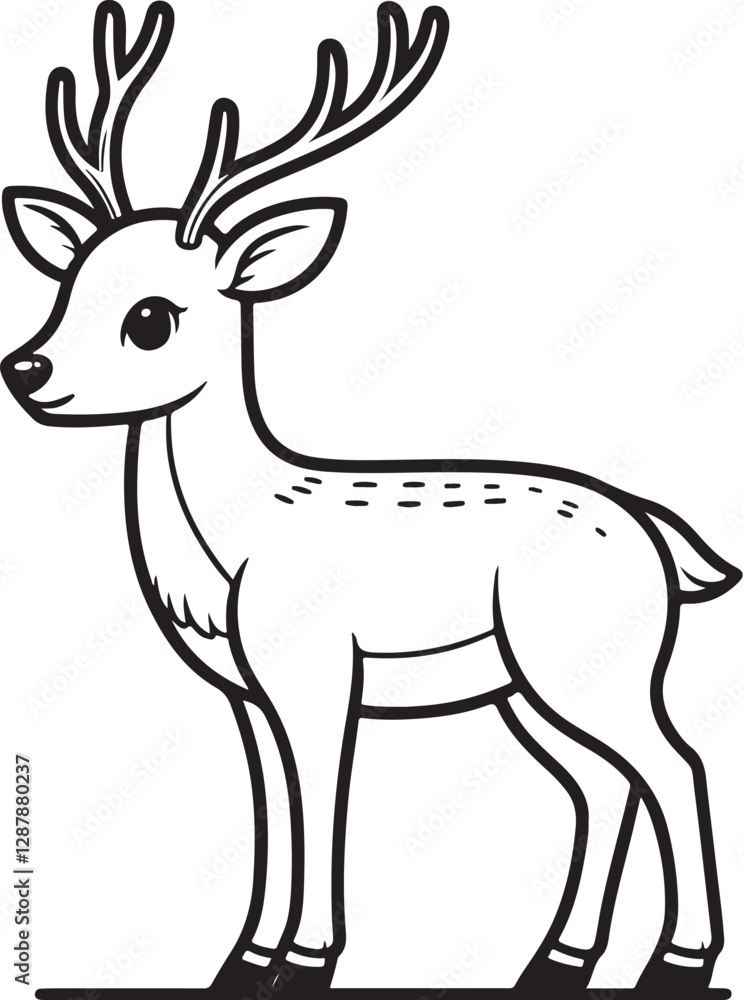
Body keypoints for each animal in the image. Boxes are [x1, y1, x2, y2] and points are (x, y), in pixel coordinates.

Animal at [2, 2, 740, 996]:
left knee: (676, 763)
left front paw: (305, 961)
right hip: (529, 683)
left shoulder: (319, 672)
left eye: (151, 317)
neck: (234, 544)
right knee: (602, 782)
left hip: (593, 662)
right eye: (70, 278)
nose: (25, 370)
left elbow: (320, 802)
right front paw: (245, 959)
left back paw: (680, 962)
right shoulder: (248, 692)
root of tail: (655, 530)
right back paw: (555, 960)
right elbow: (272, 810)